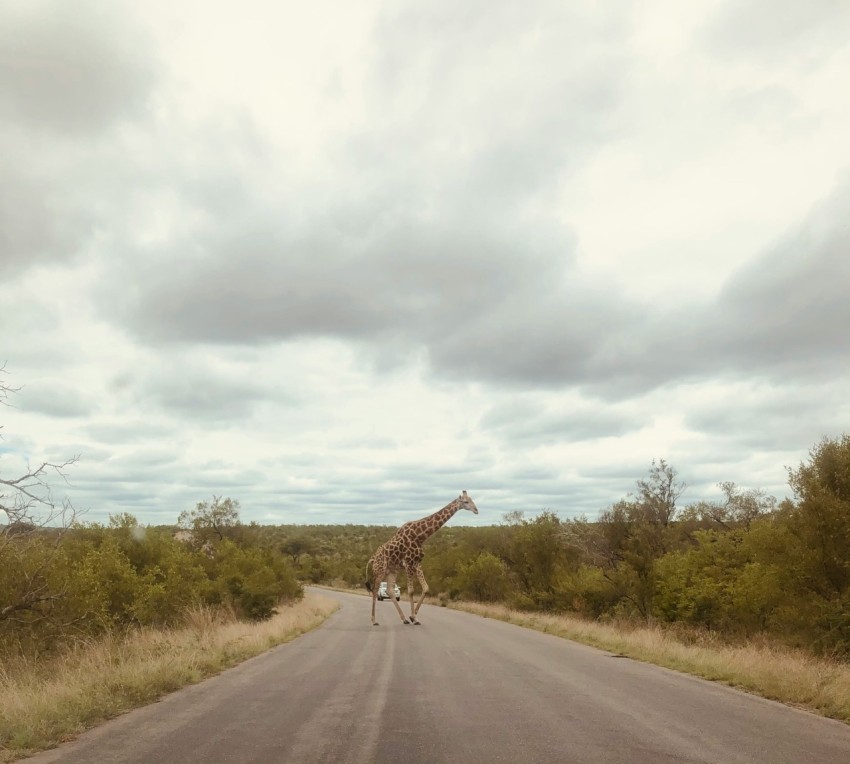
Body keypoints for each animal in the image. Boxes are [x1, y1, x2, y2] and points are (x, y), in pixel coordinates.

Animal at [362, 492, 476, 624]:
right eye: (466, 502)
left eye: (471, 499)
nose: (476, 510)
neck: (420, 536)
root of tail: (372, 559)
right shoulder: (409, 563)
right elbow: (411, 591)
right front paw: (414, 618)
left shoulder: (417, 563)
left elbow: (426, 588)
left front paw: (413, 616)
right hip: (379, 571)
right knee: (375, 590)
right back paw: (374, 620)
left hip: (392, 570)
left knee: (389, 590)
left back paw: (404, 619)